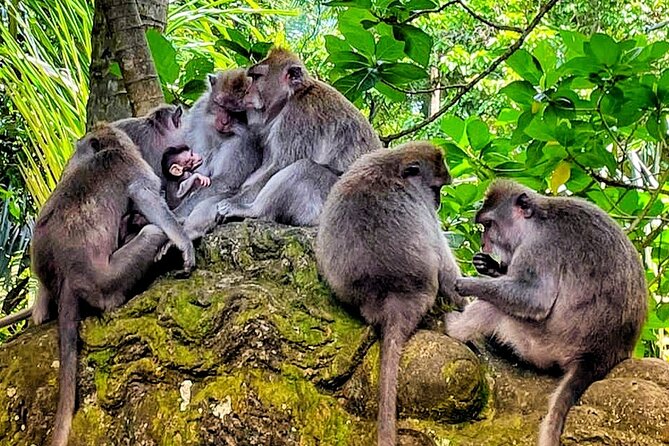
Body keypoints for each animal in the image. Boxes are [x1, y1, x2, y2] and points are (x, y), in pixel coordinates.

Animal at [30, 125, 195, 446]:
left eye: (80, 146)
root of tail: (69, 277)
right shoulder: (132, 164)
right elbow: (145, 195)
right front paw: (183, 241)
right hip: (107, 282)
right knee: (151, 231)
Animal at [216, 47, 382, 226]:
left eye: (256, 78)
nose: (247, 92)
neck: (294, 94)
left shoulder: (299, 118)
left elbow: (280, 165)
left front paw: (235, 201)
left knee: (305, 168)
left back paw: (253, 211)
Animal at [315, 142, 462, 446]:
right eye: (435, 188)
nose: (438, 202)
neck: (393, 166)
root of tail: (393, 300)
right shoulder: (424, 209)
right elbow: (447, 270)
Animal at [444, 179, 647, 446]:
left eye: (488, 225)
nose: (483, 243)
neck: (537, 219)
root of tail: (600, 355)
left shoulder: (539, 247)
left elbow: (536, 299)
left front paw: (466, 284)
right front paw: (490, 266)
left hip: (542, 343)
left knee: (497, 306)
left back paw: (454, 328)